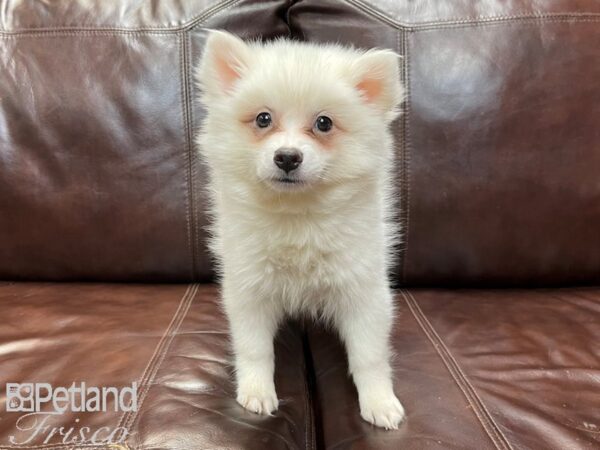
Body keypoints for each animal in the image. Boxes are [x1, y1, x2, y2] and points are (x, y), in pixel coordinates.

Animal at [199, 29, 406, 430]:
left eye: (324, 123)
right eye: (263, 119)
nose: (287, 157)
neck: (296, 215)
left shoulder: (363, 289)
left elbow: (369, 354)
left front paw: (379, 401)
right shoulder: (249, 286)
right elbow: (254, 347)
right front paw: (256, 391)